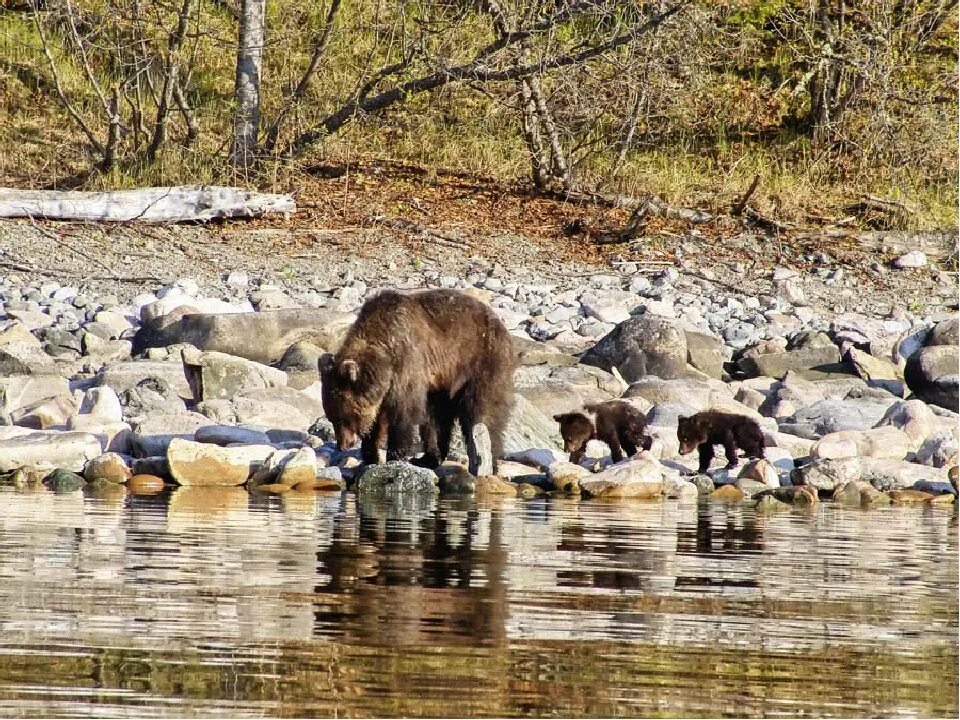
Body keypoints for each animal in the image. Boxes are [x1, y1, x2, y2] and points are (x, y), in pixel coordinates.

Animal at [320, 290, 516, 476]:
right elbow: (377, 420)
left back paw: (489, 461)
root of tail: (502, 327)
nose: (342, 445)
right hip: (444, 383)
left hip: (481, 361)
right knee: (437, 416)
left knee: (480, 412)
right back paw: (428, 458)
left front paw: (394, 455)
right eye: (331, 417)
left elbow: (403, 412)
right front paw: (370, 456)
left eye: (343, 417)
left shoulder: (407, 362)